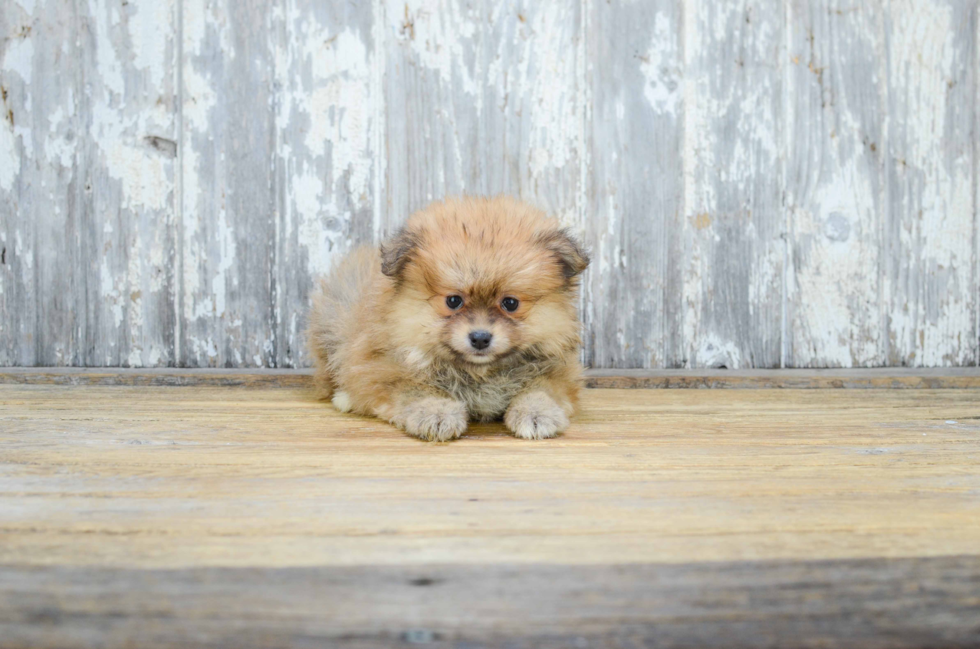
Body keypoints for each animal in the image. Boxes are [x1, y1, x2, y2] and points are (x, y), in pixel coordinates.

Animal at [310, 195, 588, 440]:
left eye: (510, 303)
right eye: (453, 301)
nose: (480, 337)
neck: (479, 372)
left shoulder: (560, 370)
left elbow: (542, 388)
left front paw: (537, 413)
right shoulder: (381, 369)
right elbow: (415, 389)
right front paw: (437, 413)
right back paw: (344, 397)